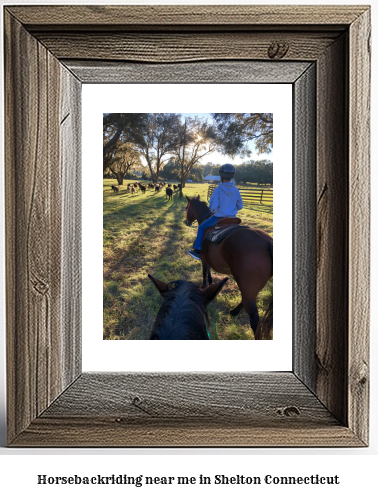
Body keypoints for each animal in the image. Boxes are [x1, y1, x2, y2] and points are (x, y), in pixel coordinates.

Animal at [185, 195, 272, 340]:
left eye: (187, 207)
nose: (186, 222)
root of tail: (268, 242)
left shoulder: (203, 259)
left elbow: (204, 272)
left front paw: (204, 286)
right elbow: (209, 271)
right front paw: (210, 282)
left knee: (254, 319)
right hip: (252, 287)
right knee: (245, 300)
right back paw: (234, 311)